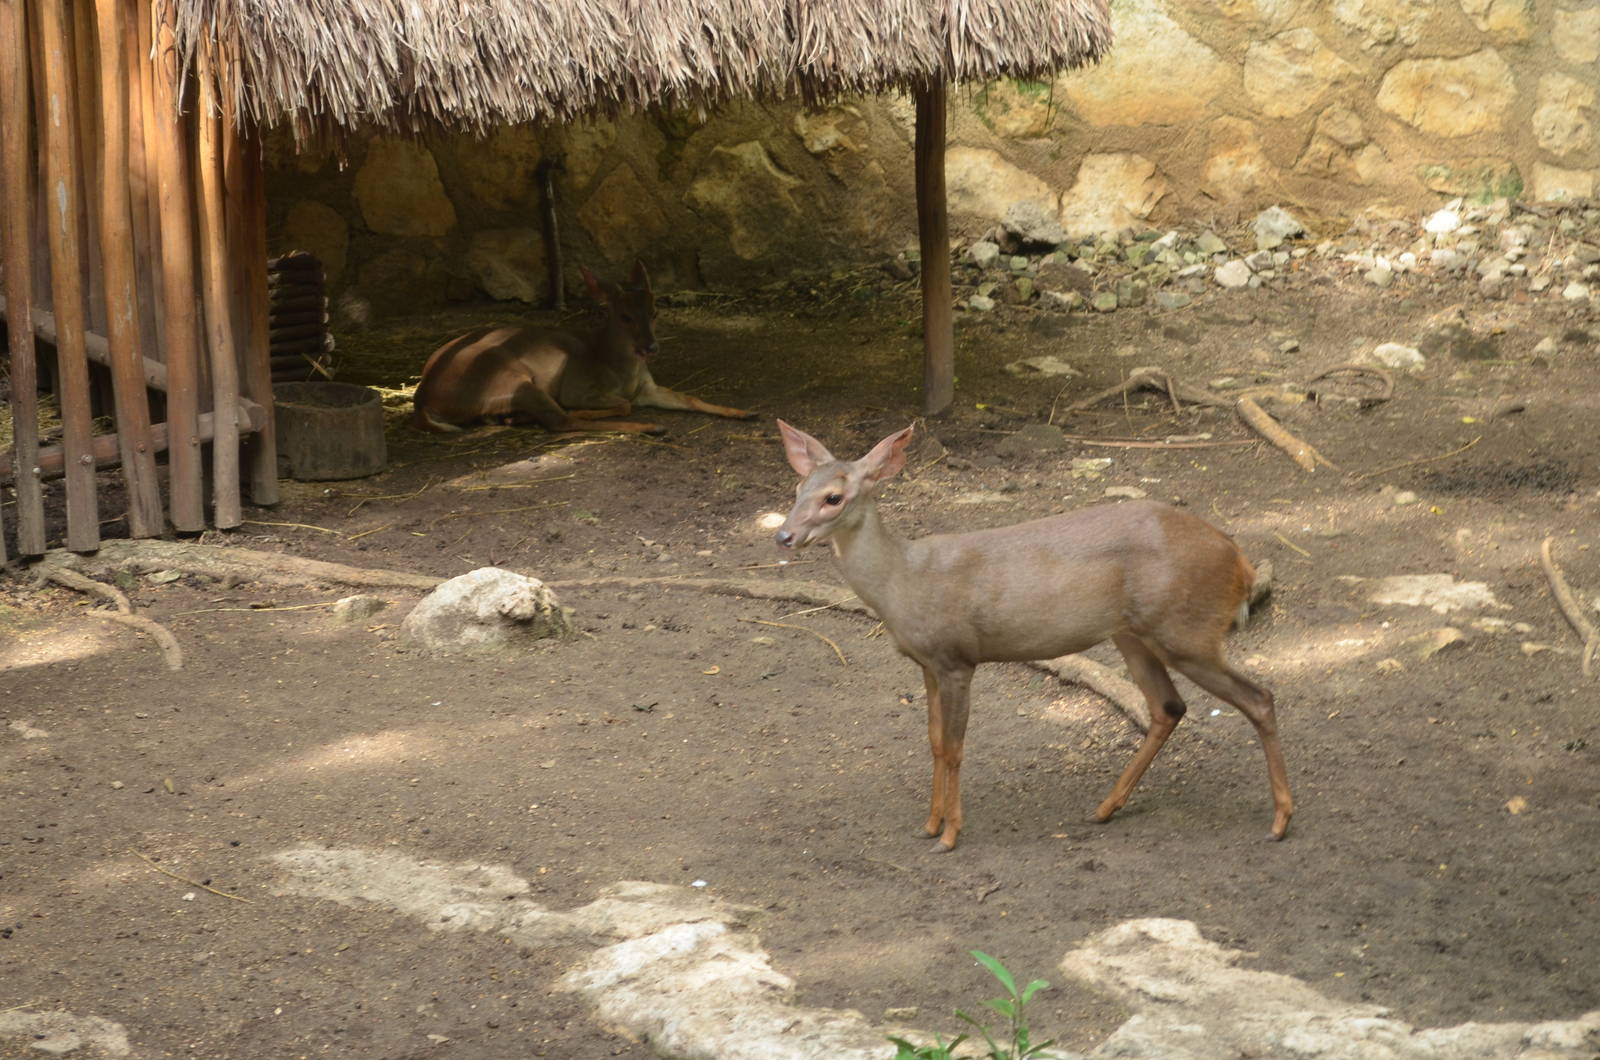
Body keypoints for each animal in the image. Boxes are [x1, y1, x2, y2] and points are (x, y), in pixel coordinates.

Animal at [411, 260, 753, 434]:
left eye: (655, 312)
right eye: (625, 316)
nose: (651, 347)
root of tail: (423, 397)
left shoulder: (648, 388)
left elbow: (689, 398)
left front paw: (745, 411)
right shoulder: (578, 385)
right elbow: (620, 403)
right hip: (511, 379)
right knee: (560, 421)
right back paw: (650, 427)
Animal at [773, 420, 1293, 852]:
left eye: (834, 498)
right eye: (798, 488)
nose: (783, 536)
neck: (903, 582)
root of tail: (1241, 561)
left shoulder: (957, 657)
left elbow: (956, 748)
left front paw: (950, 835)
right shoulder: (926, 663)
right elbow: (935, 742)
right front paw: (928, 824)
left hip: (1187, 630)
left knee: (1259, 697)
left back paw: (1280, 820)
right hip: (1134, 633)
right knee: (1168, 706)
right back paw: (1105, 808)